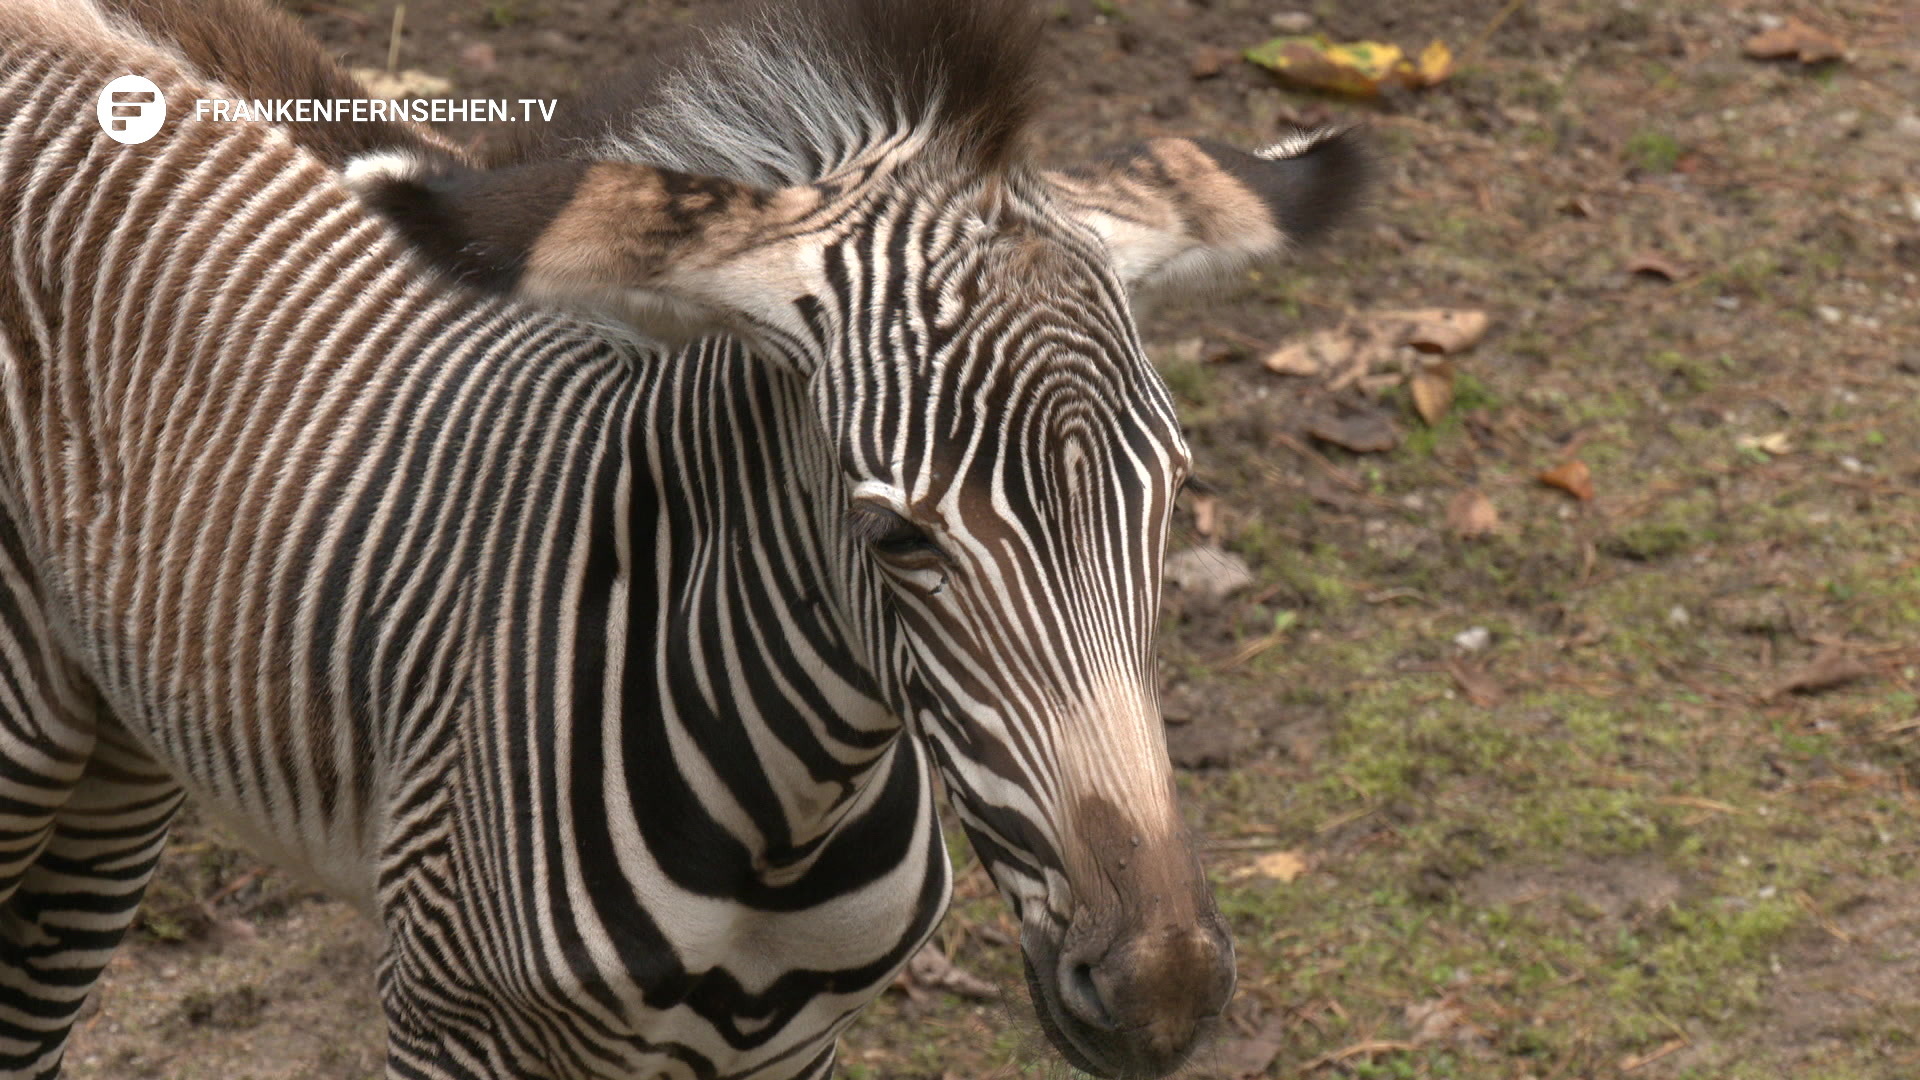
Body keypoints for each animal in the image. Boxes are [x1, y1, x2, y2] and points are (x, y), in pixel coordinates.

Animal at [0, 0, 1367, 1077]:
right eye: (894, 540)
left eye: (1172, 497)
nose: (1163, 992)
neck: (785, 825)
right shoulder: (450, 1020)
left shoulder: (794, 1049)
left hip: (120, 747)